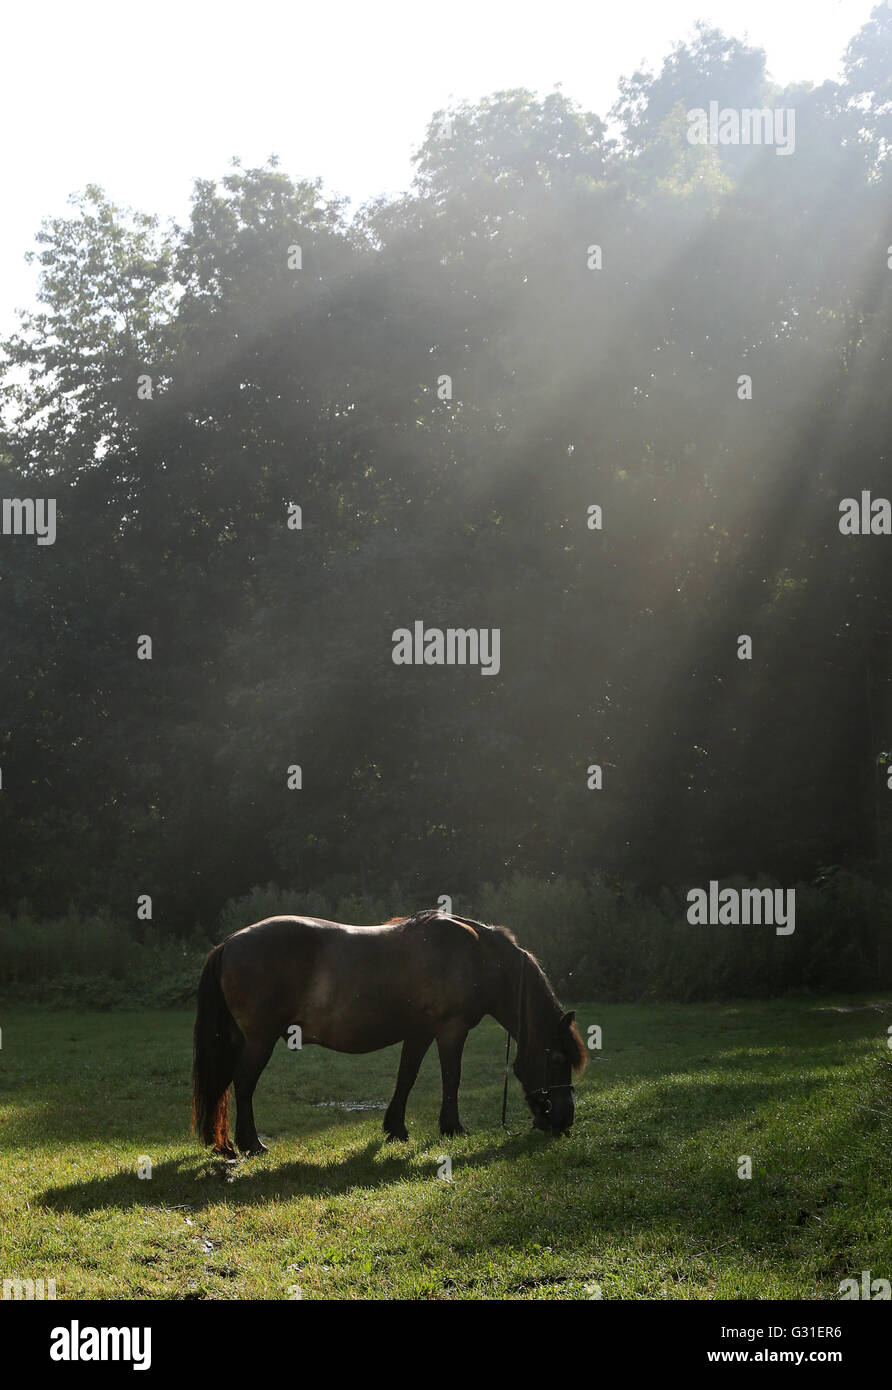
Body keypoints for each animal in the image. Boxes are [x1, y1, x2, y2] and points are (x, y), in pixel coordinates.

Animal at [191, 906, 586, 1156]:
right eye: (556, 1057)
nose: (564, 1120)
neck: (476, 955)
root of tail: (230, 942)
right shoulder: (451, 1030)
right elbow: (452, 1077)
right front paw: (453, 1128)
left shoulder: (420, 1032)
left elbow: (406, 1077)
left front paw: (395, 1128)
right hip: (259, 1040)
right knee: (243, 1084)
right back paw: (251, 1144)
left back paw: (226, 1145)